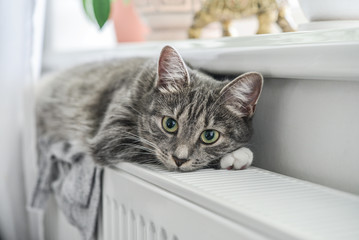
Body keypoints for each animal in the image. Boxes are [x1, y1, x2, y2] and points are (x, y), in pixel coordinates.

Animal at [36, 45, 262, 172]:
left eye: (209, 136)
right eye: (170, 124)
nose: (179, 159)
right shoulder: (112, 136)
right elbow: (150, 149)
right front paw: (238, 155)